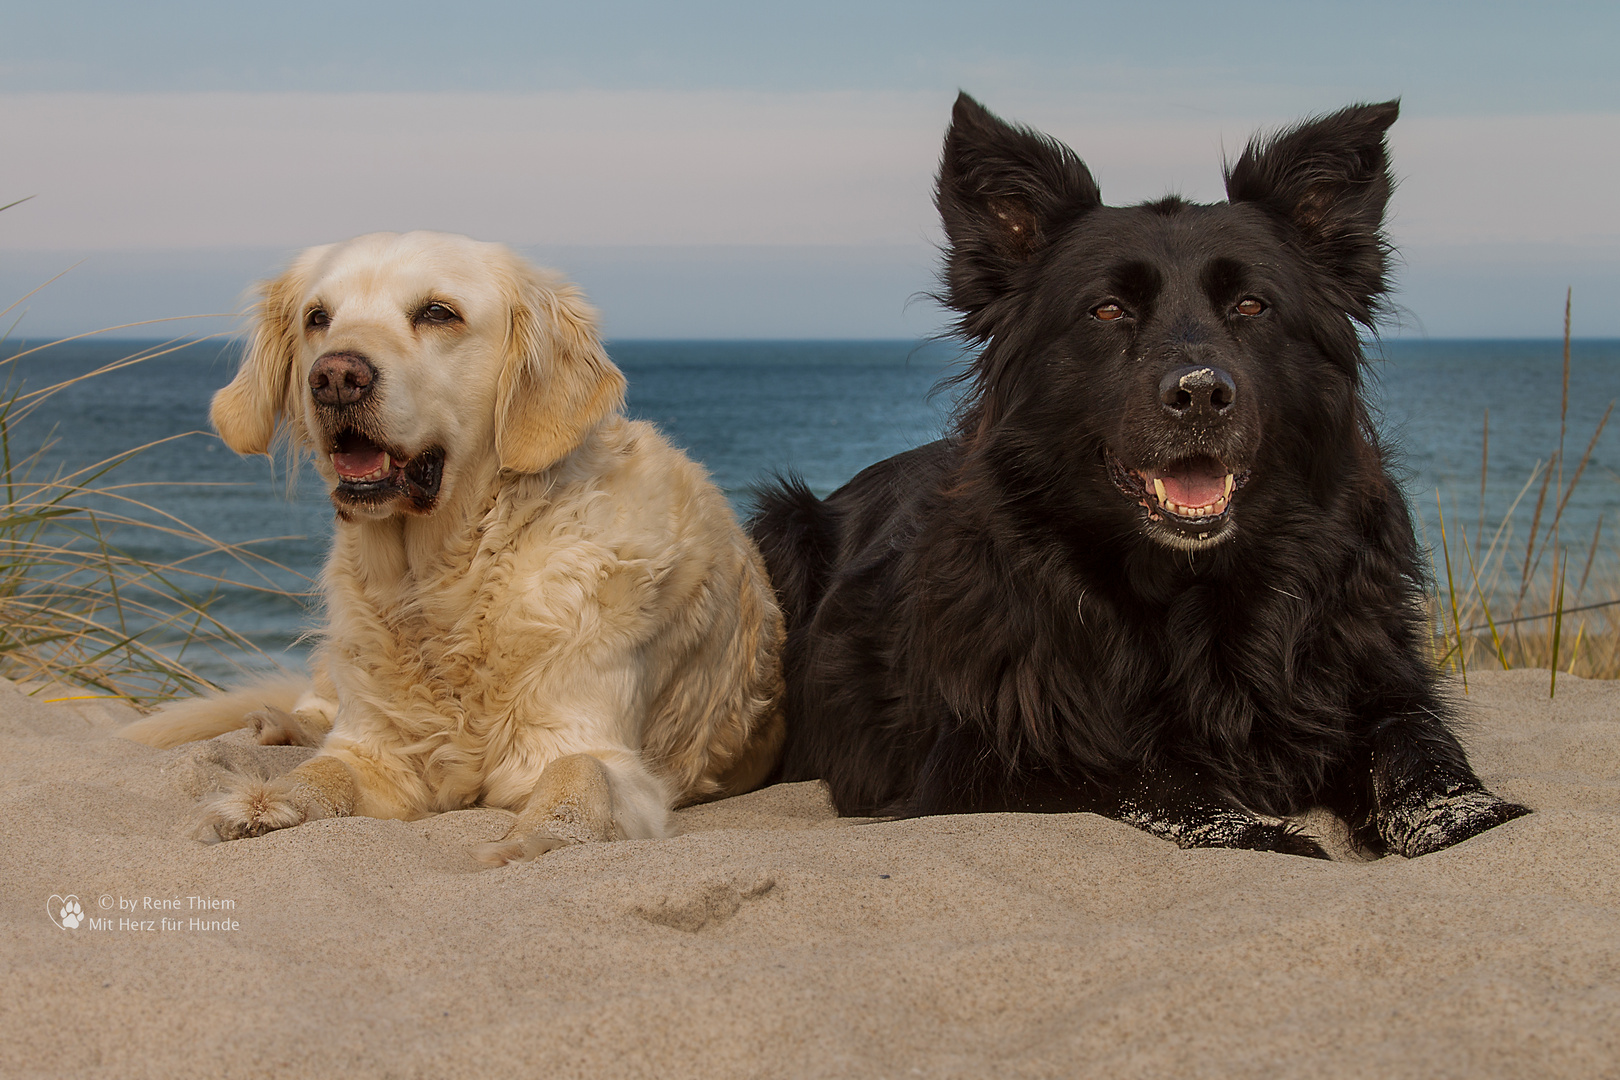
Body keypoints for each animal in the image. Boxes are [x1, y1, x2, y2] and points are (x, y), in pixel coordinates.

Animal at [751, 93, 1522, 854]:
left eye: (1251, 305)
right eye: (1108, 309)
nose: (1202, 394)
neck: (1193, 588)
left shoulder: (1376, 677)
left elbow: (1417, 747)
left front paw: (1460, 817)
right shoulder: (993, 753)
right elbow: (1141, 773)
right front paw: (1265, 835)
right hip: (781, 530)